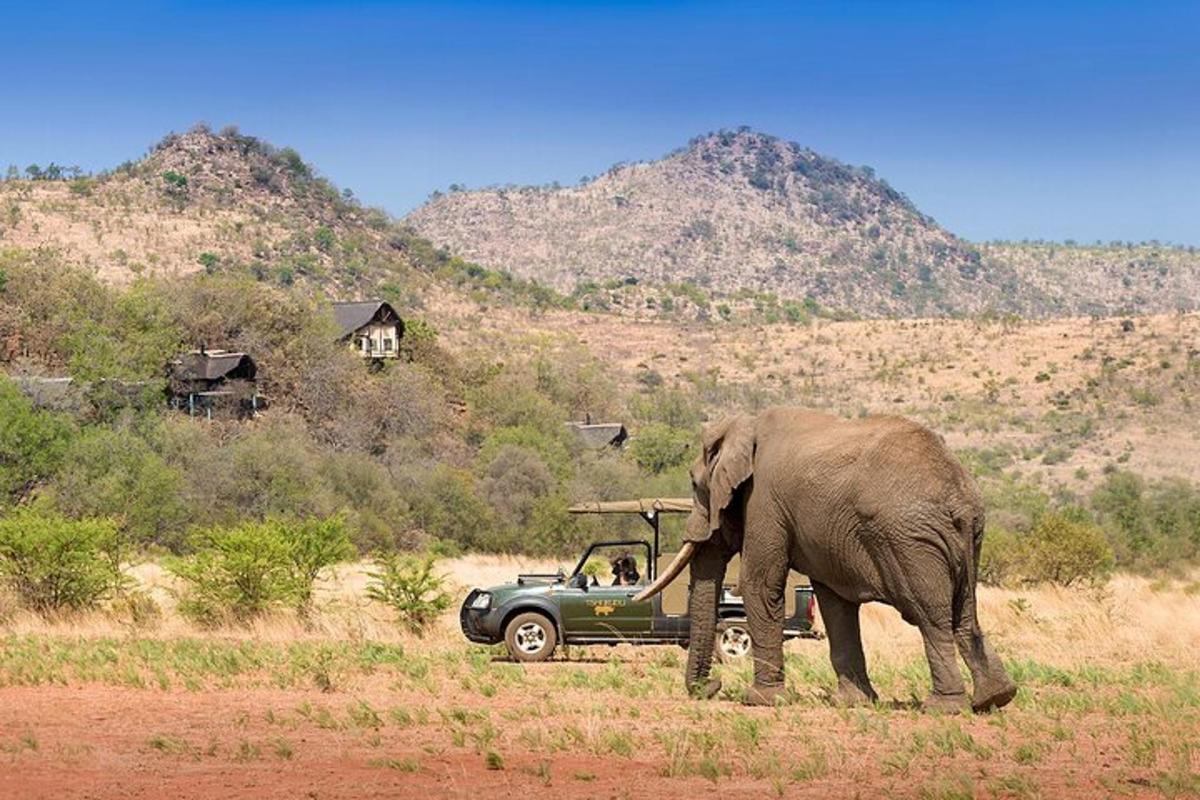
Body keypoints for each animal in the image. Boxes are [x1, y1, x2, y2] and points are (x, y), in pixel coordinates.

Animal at [633, 407, 1017, 714]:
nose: (712, 688)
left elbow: (760, 585)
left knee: (929, 615)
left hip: (910, 542)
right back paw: (994, 698)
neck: (747, 425)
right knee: (964, 614)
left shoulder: (765, 501)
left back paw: (944, 707)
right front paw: (852, 703)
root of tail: (958, 495)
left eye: (695, 485)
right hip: (969, 537)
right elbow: (835, 603)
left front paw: (760, 700)